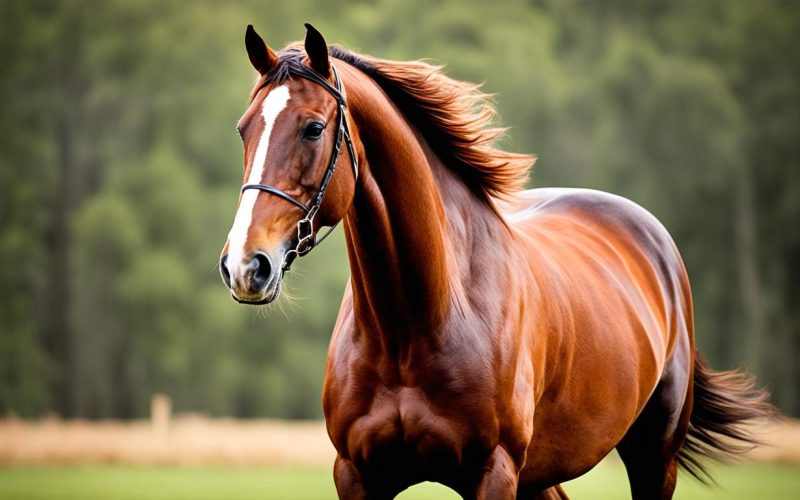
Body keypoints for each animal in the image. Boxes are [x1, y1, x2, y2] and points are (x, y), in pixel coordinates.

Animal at [219, 24, 774, 499]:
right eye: (243, 130)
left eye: (313, 129)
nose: (245, 267)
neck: (416, 325)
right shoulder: (357, 475)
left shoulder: (494, 472)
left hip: (654, 457)